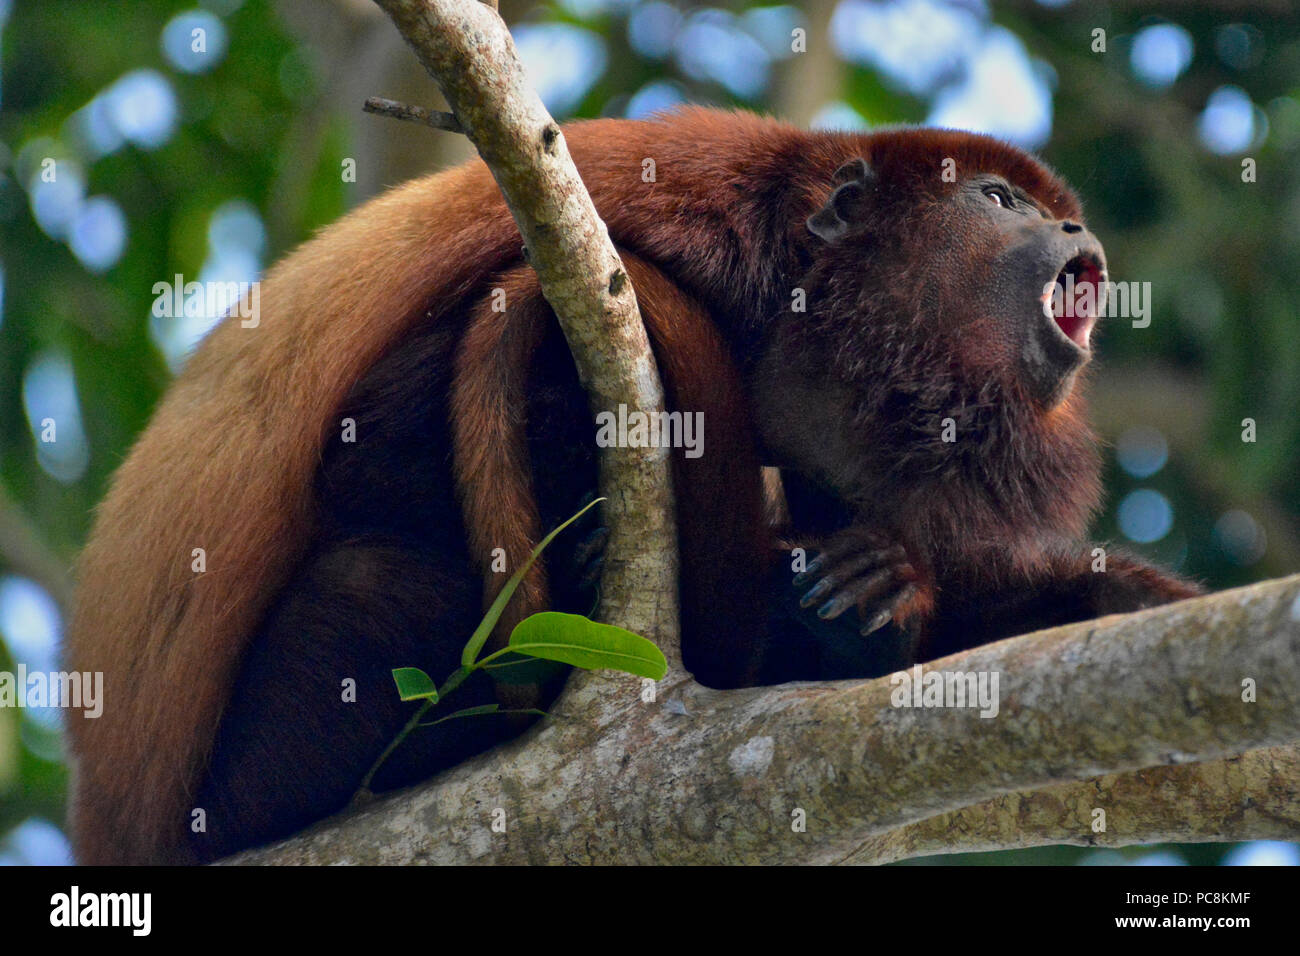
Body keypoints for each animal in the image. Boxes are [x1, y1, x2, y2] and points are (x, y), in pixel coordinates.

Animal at [61, 106, 1196, 868]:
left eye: (1054, 214)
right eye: (999, 202)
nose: (1076, 237)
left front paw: (889, 585)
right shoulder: (663, 217)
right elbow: (370, 451)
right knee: (379, 576)